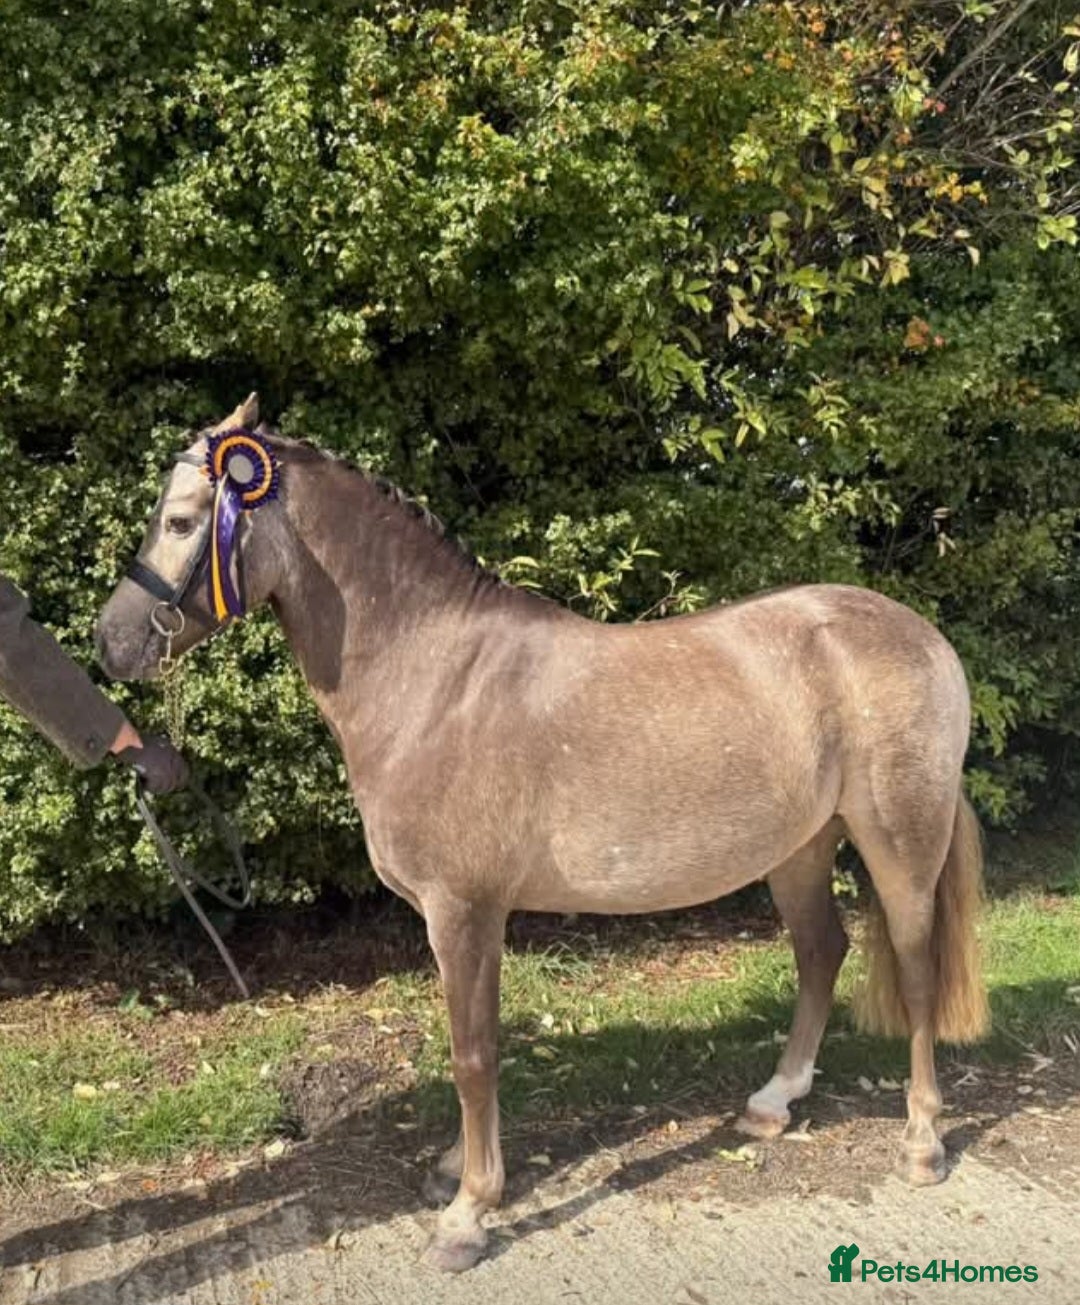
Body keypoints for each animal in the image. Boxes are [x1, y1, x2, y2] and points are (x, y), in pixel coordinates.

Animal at [95, 394, 989, 1272]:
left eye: (181, 520)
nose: (112, 640)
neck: (433, 676)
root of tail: (925, 635)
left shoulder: (463, 910)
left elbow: (471, 1054)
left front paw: (468, 1212)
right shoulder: (469, 917)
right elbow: (478, 1046)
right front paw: (460, 1171)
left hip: (897, 846)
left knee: (915, 973)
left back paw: (921, 1141)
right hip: (799, 848)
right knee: (821, 951)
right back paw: (775, 1101)